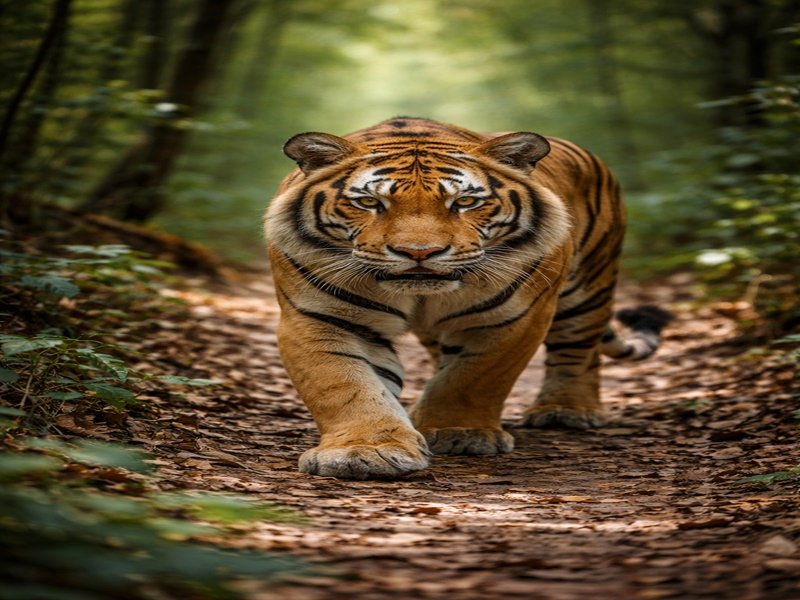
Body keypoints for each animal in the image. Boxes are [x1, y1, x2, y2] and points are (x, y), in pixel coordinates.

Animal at [264, 117, 672, 480]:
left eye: (464, 202)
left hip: (589, 286)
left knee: (578, 350)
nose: (419, 253)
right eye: (368, 202)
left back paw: (567, 410)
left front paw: (458, 432)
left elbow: (473, 377)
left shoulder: (517, 318)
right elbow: (344, 385)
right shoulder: (320, 318)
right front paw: (365, 451)